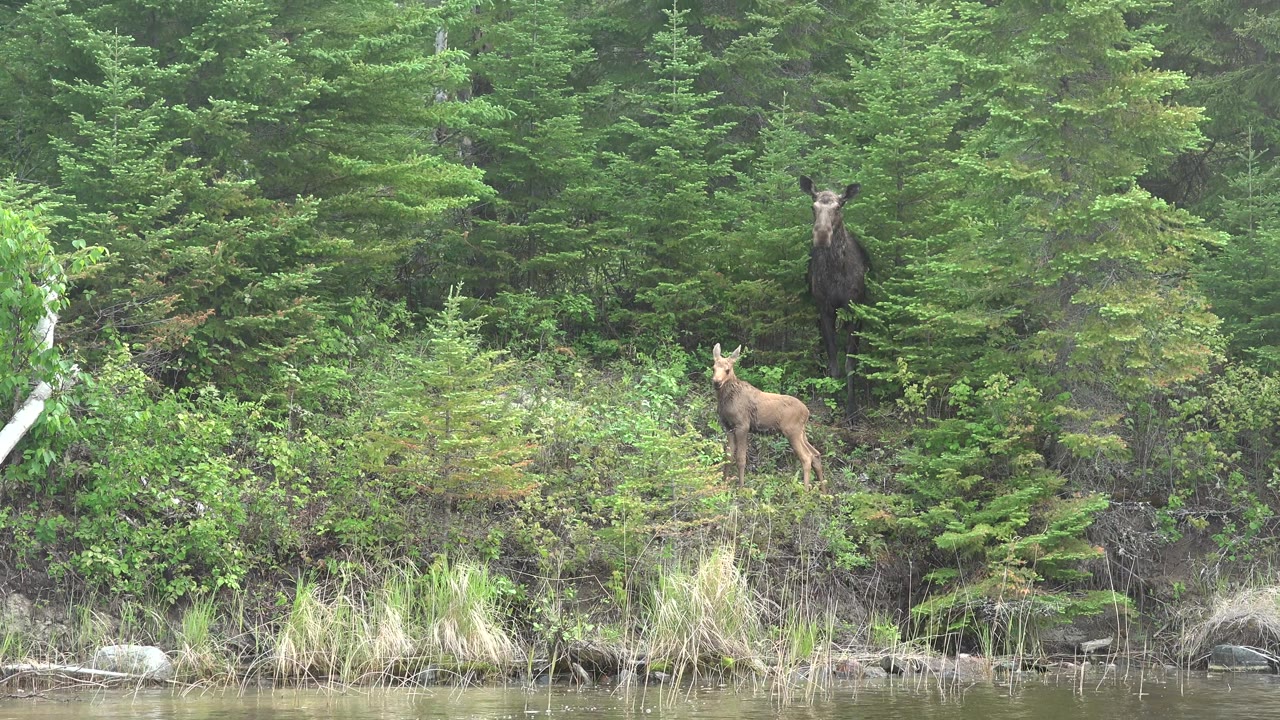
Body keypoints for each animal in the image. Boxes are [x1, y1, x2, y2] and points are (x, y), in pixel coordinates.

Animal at [712, 343, 824, 489]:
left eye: (727, 370)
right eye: (713, 368)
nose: (716, 382)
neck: (726, 400)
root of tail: (807, 412)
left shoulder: (743, 425)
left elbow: (741, 458)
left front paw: (741, 487)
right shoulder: (728, 427)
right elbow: (728, 457)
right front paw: (724, 484)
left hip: (792, 431)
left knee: (806, 457)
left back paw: (805, 490)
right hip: (801, 432)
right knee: (816, 454)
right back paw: (823, 490)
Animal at [801, 176, 870, 410]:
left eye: (839, 206)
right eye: (813, 206)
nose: (822, 235)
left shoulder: (855, 309)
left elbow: (850, 362)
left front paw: (851, 407)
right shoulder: (825, 307)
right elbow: (833, 359)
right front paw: (832, 398)